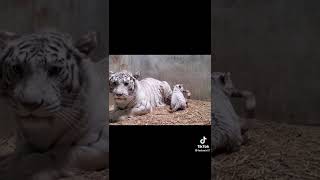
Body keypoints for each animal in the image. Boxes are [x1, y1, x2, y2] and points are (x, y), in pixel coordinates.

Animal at [0, 30, 108, 179]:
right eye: (17, 68)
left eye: (55, 70)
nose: (30, 104)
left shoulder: (101, 144)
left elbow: (58, 155)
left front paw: (14, 168)